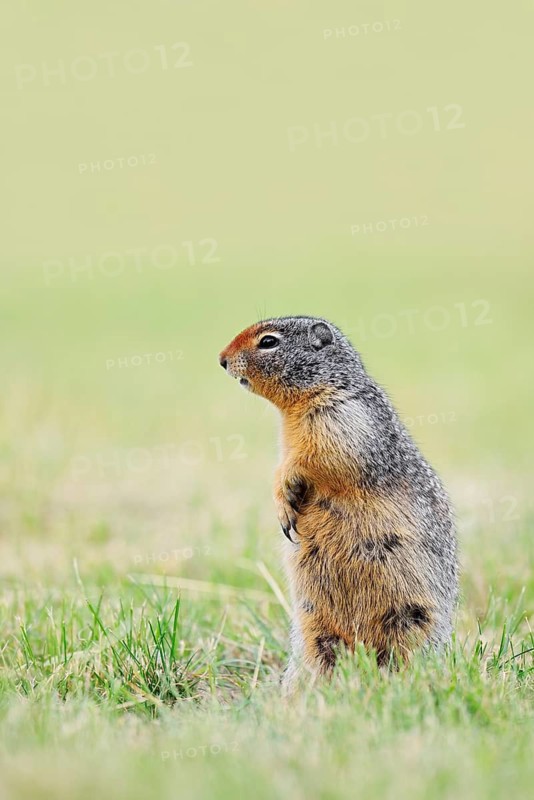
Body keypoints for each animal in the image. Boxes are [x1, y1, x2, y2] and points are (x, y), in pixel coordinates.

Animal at [219, 316, 458, 689]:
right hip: (313, 627)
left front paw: (286, 491)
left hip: (415, 618)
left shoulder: (343, 418)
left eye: (268, 342)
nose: (221, 359)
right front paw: (282, 506)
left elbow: (319, 458)